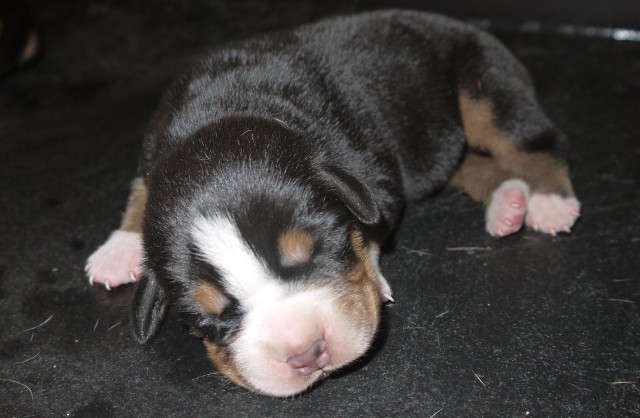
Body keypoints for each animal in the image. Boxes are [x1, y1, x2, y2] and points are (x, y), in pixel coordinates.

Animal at [84, 9, 580, 396]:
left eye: (316, 252)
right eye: (212, 315)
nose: (305, 352)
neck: (222, 112)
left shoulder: (374, 177)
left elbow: (370, 229)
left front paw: (376, 280)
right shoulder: (154, 153)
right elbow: (142, 193)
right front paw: (121, 248)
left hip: (483, 82)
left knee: (531, 144)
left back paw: (549, 202)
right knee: (476, 167)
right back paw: (508, 202)